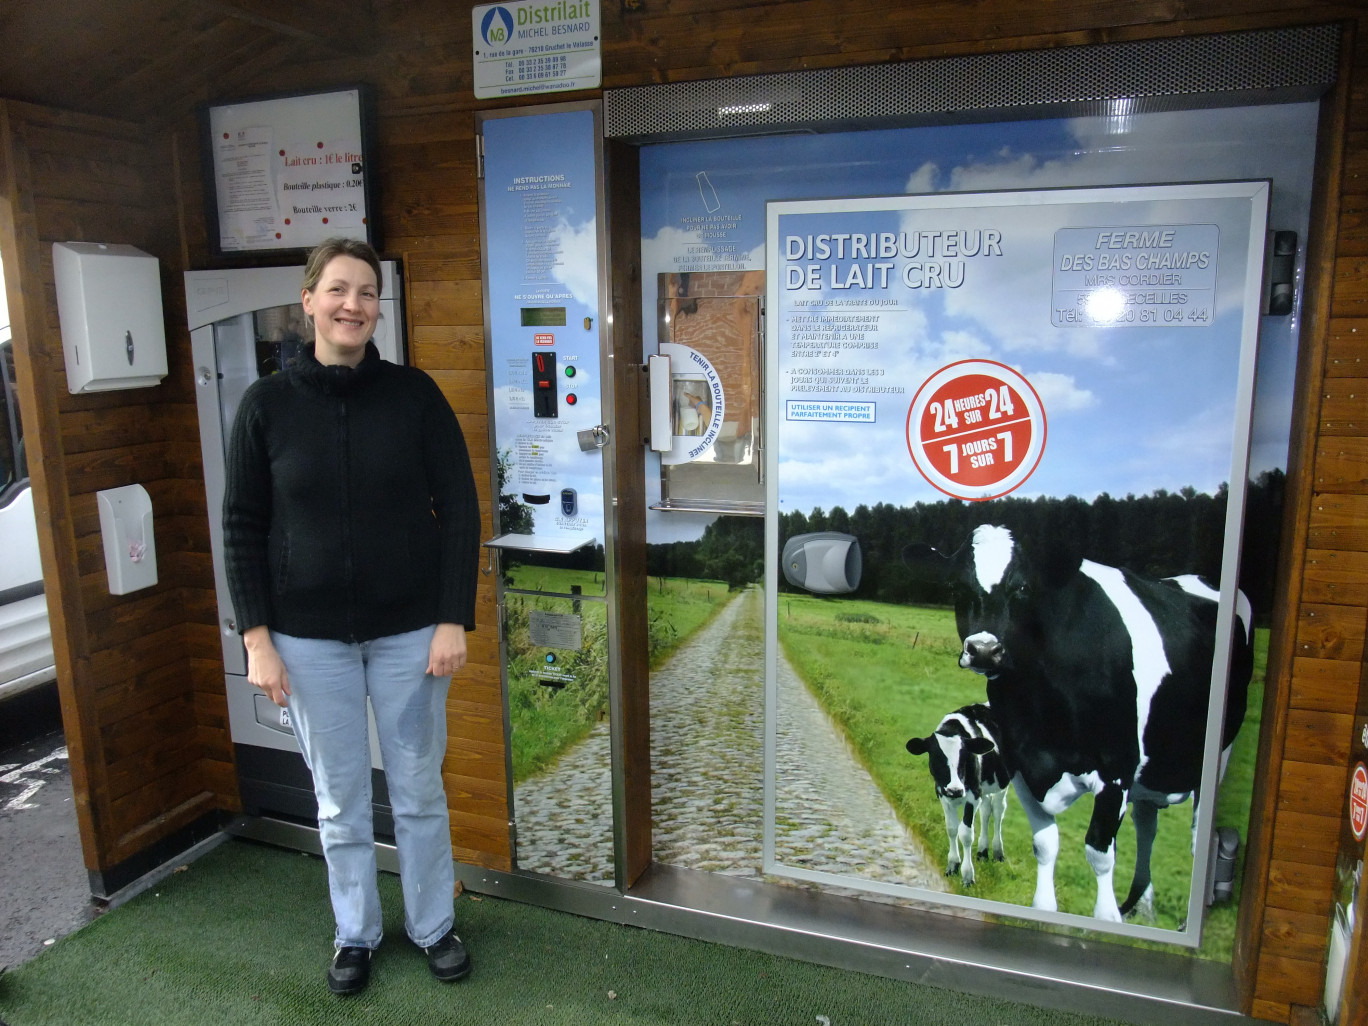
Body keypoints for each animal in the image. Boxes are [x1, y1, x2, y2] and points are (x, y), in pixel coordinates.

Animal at [902, 705, 1012, 886]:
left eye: (964, 757)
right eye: (936, 757)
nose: (955, 790)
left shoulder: (973, 794)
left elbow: (966, 834)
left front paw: (967, 876)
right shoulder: (943, 793)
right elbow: (952, 829)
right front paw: (952, 866)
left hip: (1002, 782)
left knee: (998, 810)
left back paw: (998, 853)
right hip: (984, 787)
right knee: (986, 810)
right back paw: (982, 852)